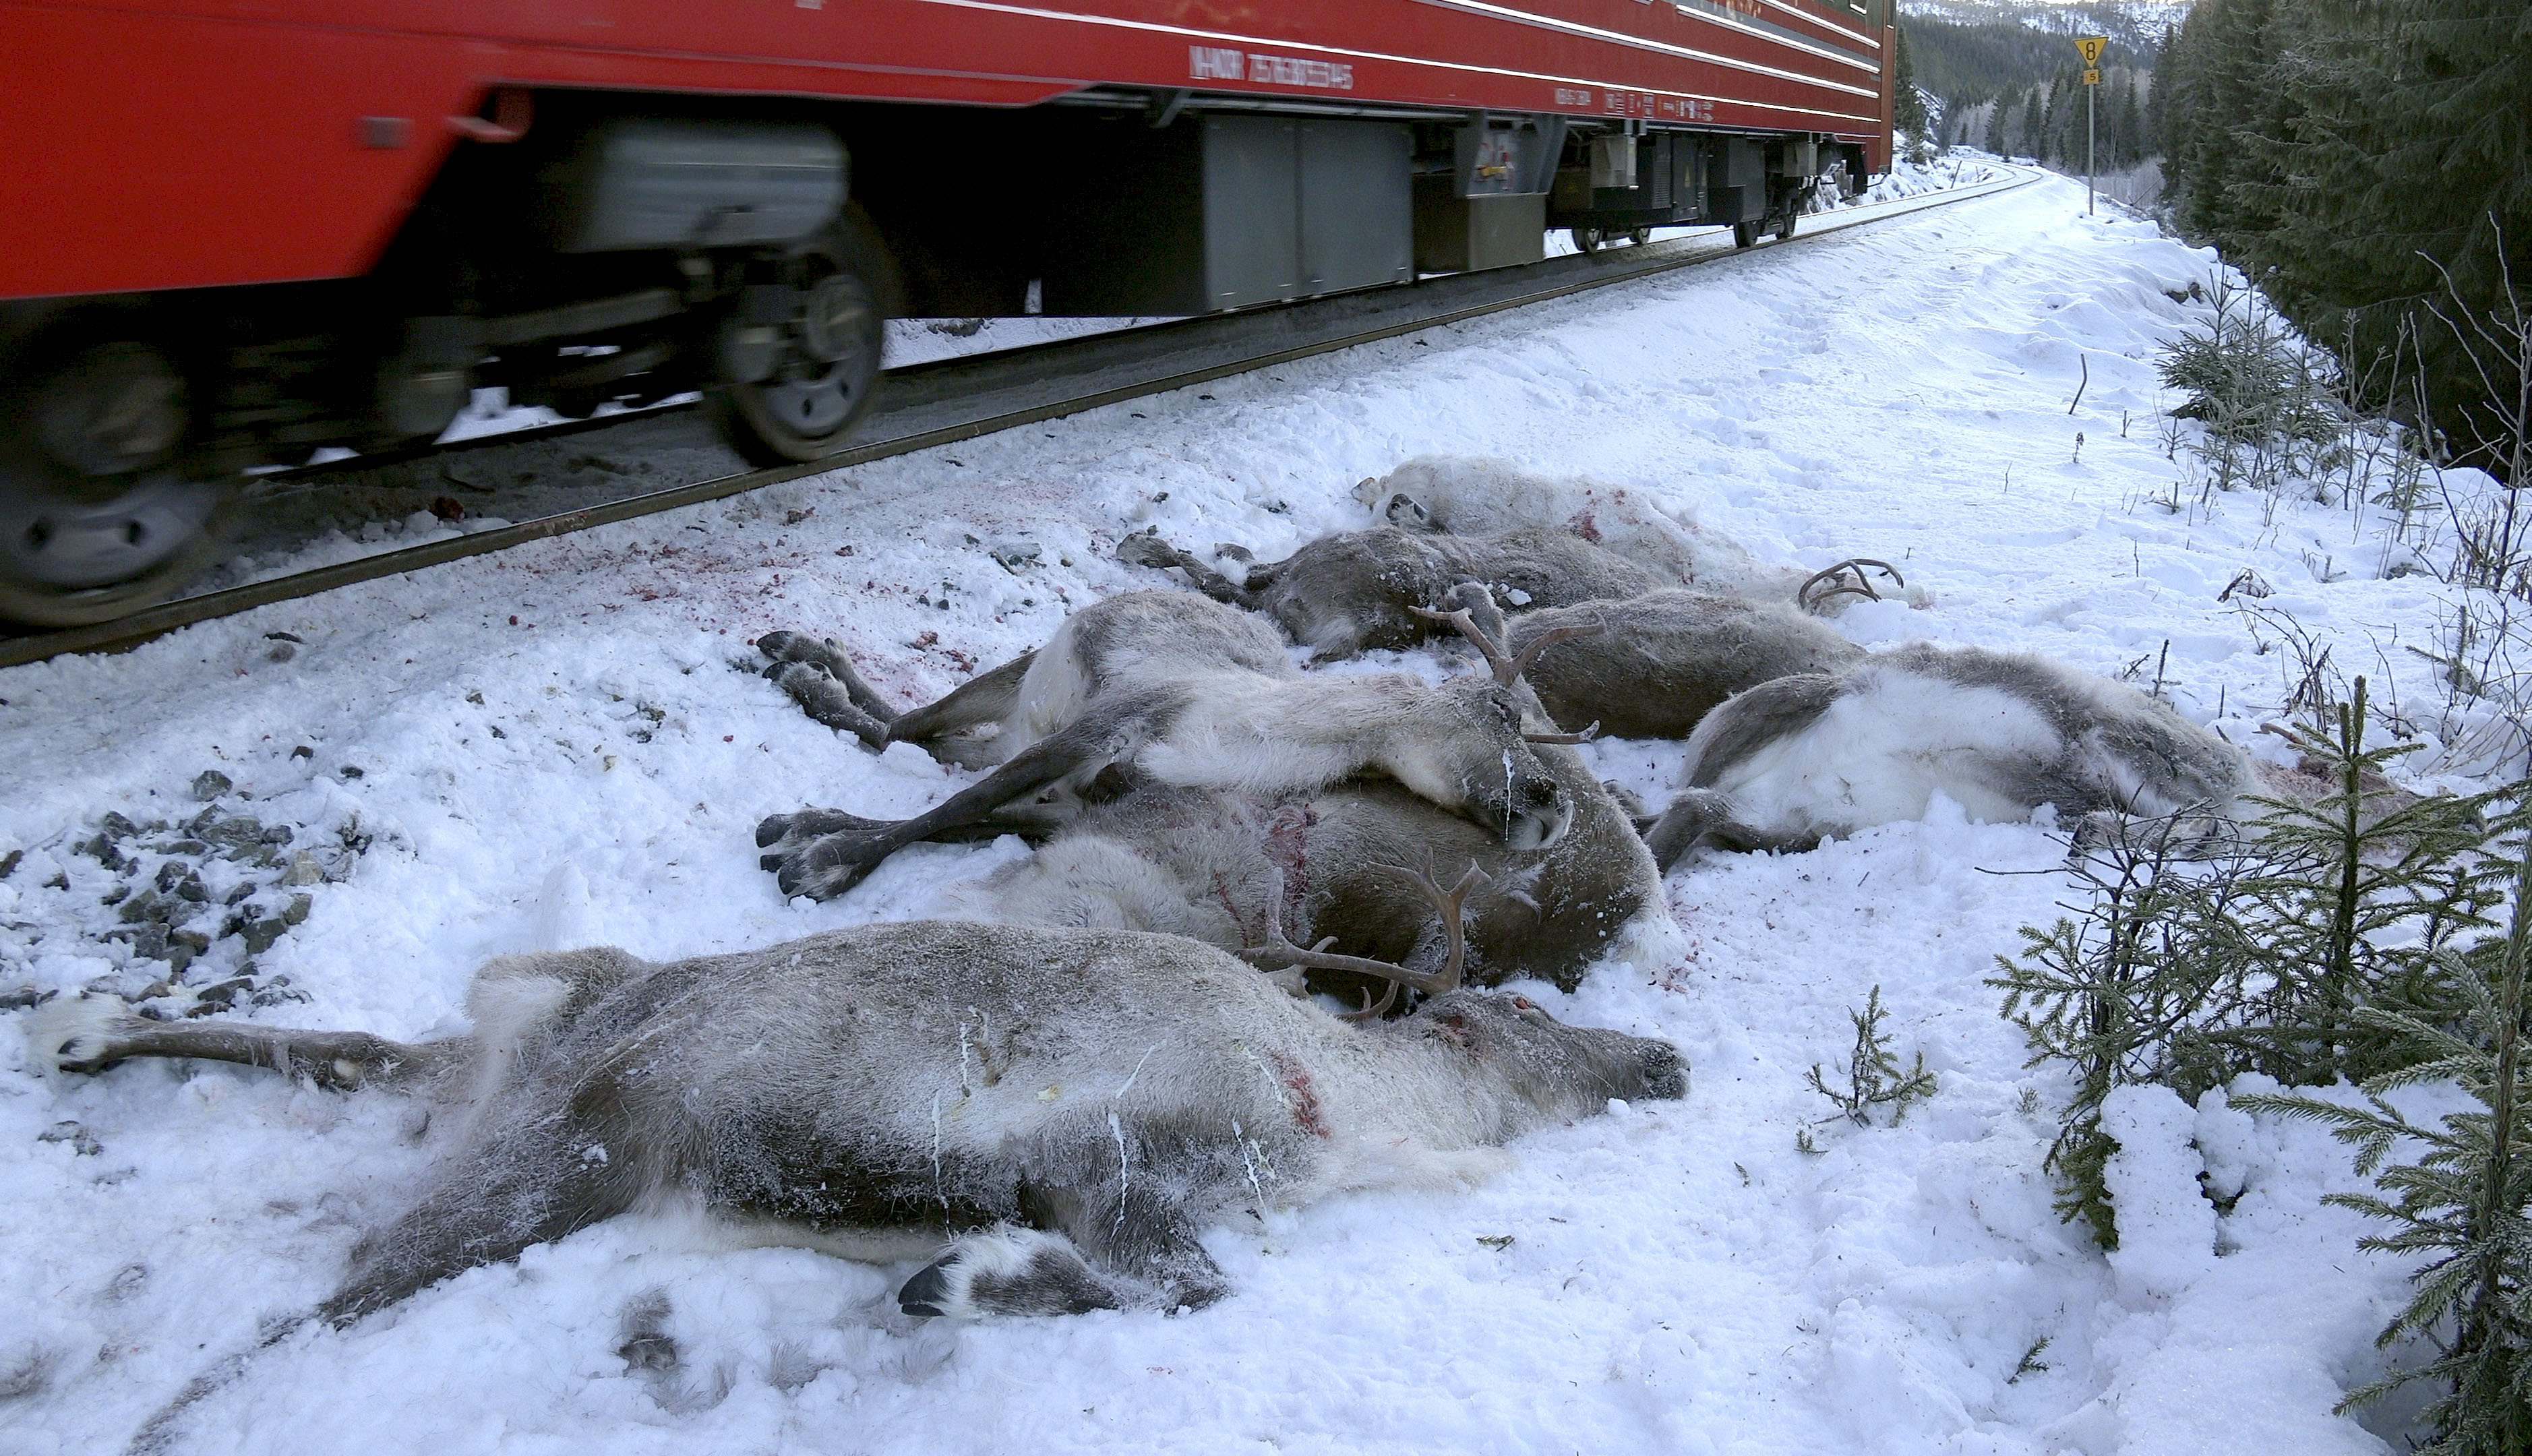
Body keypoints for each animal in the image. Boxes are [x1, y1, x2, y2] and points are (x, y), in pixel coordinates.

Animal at [26, 910, 1687, 1326]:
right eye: (1528, 1019)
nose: (1668, 1058)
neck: (1348, 1105)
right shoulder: (1128, 1162)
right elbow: (1177, 1290)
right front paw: (958, 1279)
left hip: (515, 1076)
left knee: (370, 1049)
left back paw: (82, 1027)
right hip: (564, 1158)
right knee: (328, 1296)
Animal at [751, 590, 1583, 903]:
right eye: (1502, 714)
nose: (1558, 808)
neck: (1256, 738)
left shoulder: (1077, 799)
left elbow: (969, 818)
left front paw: (812, 837)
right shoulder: (1107, 725)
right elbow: (948, 812)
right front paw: (823, 858)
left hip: (1021, 721)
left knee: (932, 745)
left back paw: (804, 676)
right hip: (1033, 682)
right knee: (912, 727)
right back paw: (800, 660)